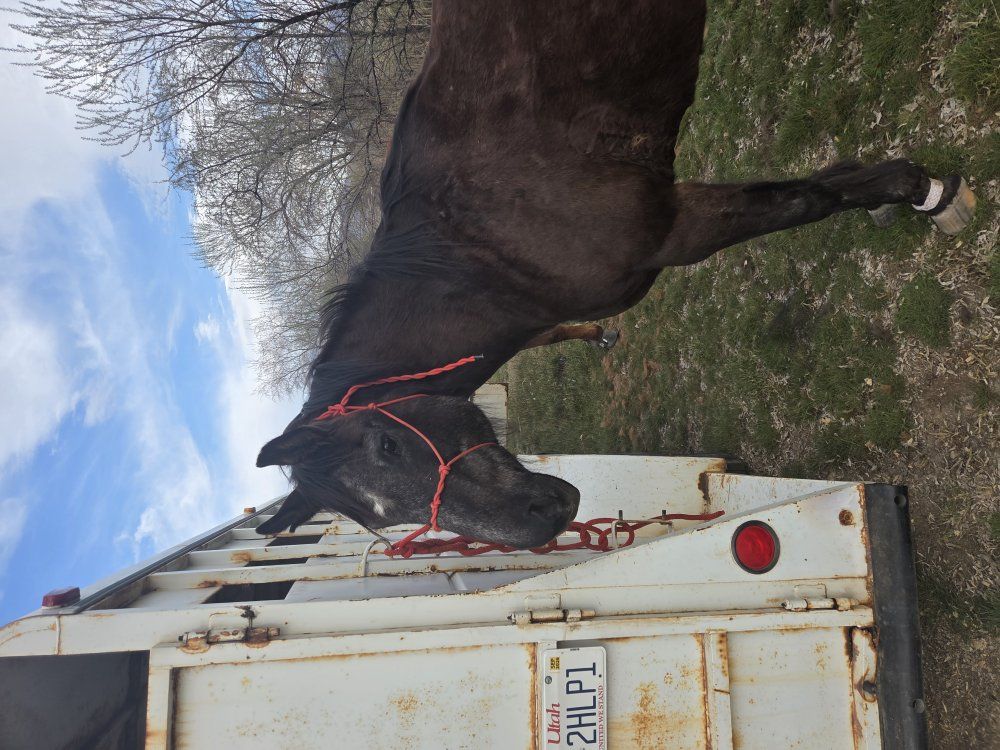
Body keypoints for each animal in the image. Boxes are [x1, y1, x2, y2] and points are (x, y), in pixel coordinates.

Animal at [255, 0, 975, 548]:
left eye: (386, 444)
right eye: (385, 518)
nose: (541, 522)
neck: (473, 252)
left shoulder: (675, 230)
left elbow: (809, 200)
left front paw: (924, 191)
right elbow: (821, 187)